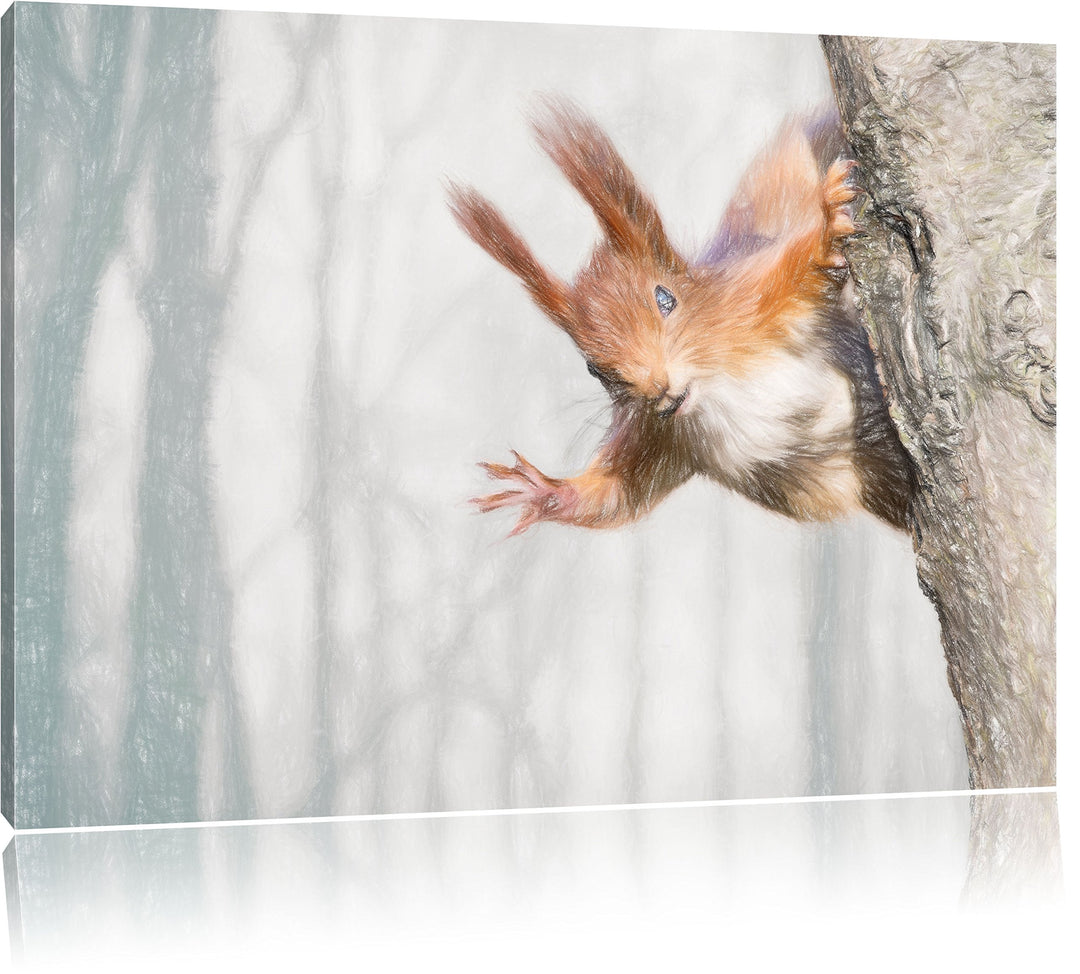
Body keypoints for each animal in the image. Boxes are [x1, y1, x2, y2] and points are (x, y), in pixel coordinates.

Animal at [448, 98, 917, 536]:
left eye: (665, 298)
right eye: (593, 369)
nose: (658, 387)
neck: (712, 390)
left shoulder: (753, 302)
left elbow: (805, 268)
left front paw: (828, 226)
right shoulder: (658, 436)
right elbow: (619, 493)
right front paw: (544, 491)